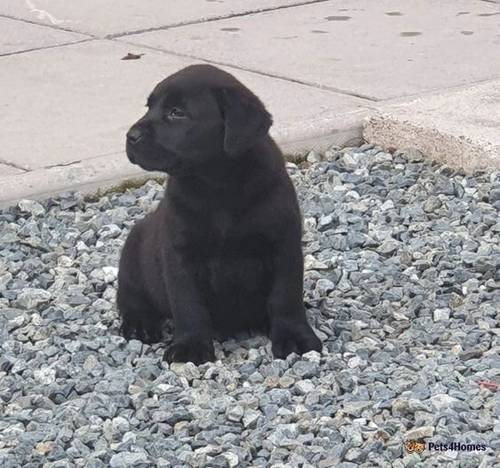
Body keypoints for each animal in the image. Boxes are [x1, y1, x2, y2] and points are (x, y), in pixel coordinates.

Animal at [117, 64, 320, 364]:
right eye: (149, 107)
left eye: (177, 112)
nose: (131, 136)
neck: (217, 185)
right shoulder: (180, 255)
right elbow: (188, 304)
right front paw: (190, 346)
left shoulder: (283, 246)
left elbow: (286, 296)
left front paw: (295, 336)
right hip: (133, 255)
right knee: (131, 298)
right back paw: (139, 324)